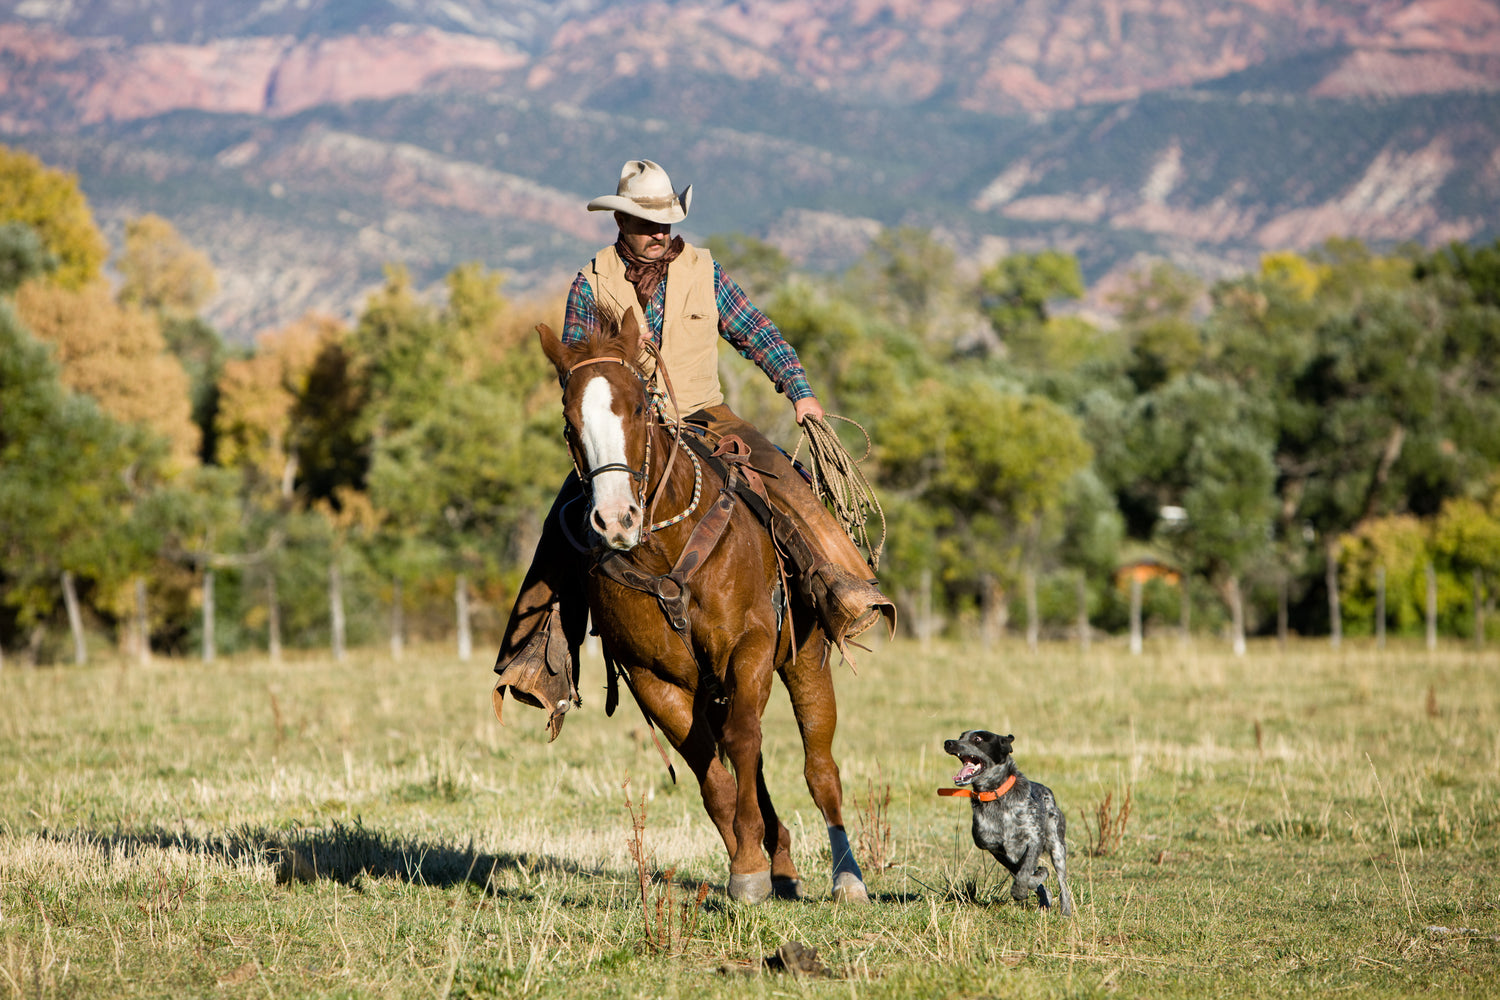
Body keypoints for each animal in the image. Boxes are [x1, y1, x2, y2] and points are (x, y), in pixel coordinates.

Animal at [540, 316, 870, 905]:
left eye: (637, 407)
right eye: (569, 421)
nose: (616, 520)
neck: (667, 551)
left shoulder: (751, 646)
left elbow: (743, 742)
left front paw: (753, 860)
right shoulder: (654, 676)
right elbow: (710, 771)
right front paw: (748, 866)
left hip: (804, 660)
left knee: (818, 767)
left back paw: (847, 877)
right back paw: (780, 862)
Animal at [942, 728, 1074, 917]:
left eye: (977, 739)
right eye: (961, 737)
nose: (948, 742)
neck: (996, 796)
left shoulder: (1035, 839)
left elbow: (1025, 872)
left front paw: (1022, 888)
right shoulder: (994, 848)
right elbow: (1021, 873)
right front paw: (1035, 884)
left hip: (1057, 845)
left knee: (1062, 884)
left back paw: (1065, 912)